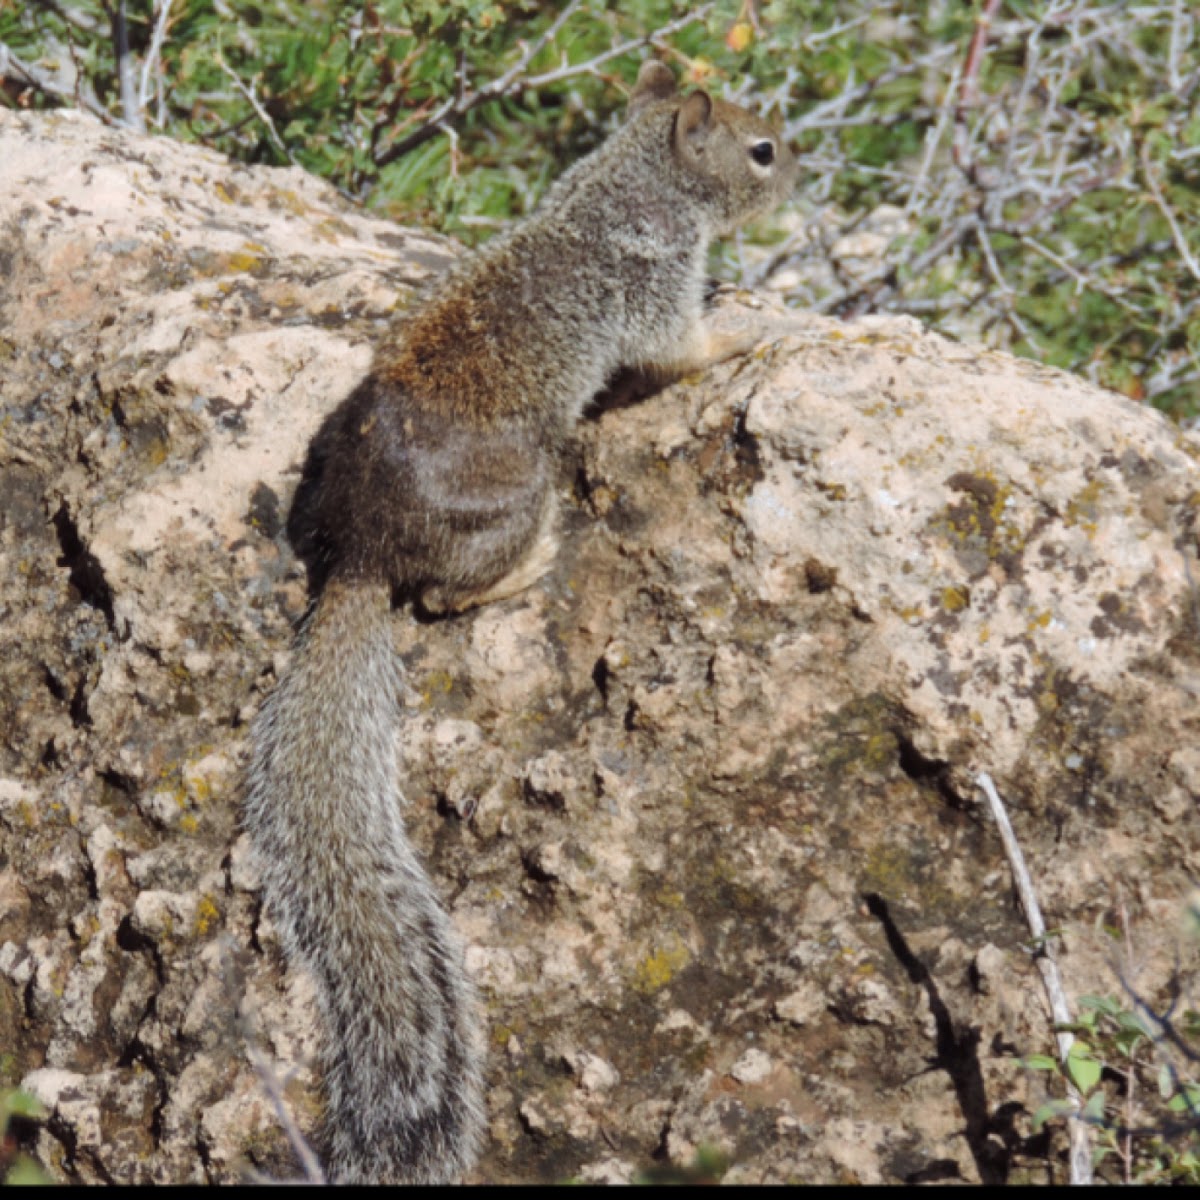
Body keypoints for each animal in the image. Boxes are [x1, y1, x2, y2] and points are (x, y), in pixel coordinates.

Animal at [241, 60, 796, 1185]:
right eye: (761, 149)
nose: (803, 171)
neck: (631, 188)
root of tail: (360, 558)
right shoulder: (652, 297)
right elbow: (685, 349)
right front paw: (755, 326)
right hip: (522, 491)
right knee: (445, 598)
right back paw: (529, 563)